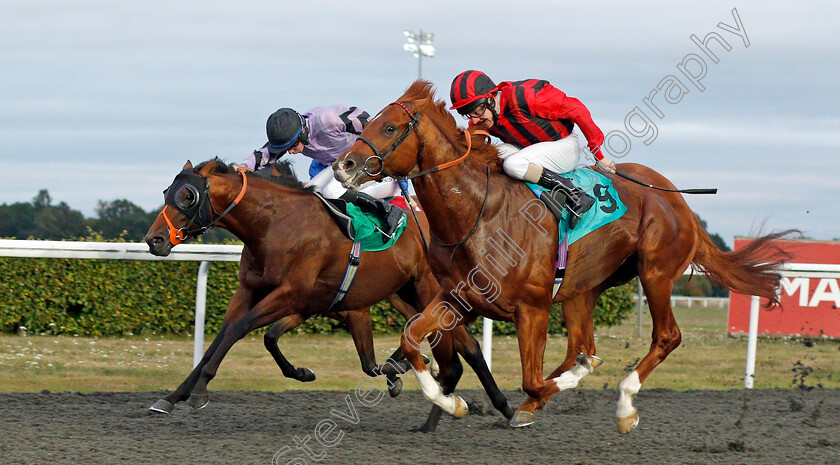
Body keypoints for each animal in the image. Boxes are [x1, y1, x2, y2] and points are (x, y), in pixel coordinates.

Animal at [143, 160, 512, 432]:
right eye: (166, 191)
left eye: (188, 196)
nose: (154, 240)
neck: (273, 223)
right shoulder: (267, 296)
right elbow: (233, 339)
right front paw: (172, 397)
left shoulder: (290, 295)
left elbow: (238, 331)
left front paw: (200, 391)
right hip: (405, 295)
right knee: (464, 348)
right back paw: (453, 410)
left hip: (428, 291)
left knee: (459, 354)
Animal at [332, 79, 792, 432]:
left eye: (390, 127)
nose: (343, 166)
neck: (479, 213)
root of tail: (676, 198)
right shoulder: (457, 298)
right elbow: (412, 336)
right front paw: (451, 402)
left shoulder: (532, 309)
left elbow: (532, 380)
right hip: (581, 288)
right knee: (580, 344)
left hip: (656, 272)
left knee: (666, 336)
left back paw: (624, 404)